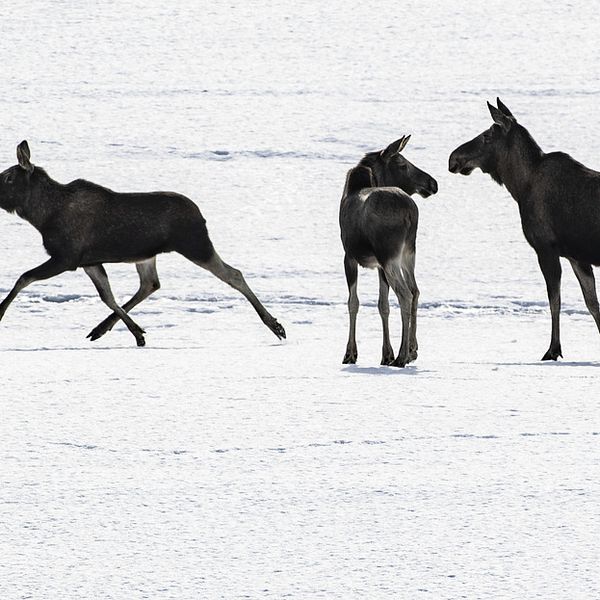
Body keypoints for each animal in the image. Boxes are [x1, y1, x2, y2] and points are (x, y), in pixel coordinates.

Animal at [0, 142, 286, 346]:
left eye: (8, 178)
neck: (42, 216)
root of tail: (201, 215)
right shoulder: (89, 261)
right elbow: (107, 296)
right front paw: (137, 332)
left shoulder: (66, 257)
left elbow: (24, 278)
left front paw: (0, 313)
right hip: (148, 255)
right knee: (150, 284)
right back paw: (103, 328)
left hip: (195, 245)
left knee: (233, 274)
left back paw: (275, 325)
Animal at [340, 137, 438, 368]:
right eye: (402, 164)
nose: (433, 183)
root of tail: (411, 212)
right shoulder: (377, 265)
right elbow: (382, 305)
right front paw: (386, 354)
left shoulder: (349, 256)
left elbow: (353, 303)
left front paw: (350, 353)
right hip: (408, 253)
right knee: (415, 290)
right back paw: (411, 350)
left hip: (389, 256)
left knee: (405, 294)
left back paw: (402, 356)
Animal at [450, 99, 600, 360]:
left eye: (487, 135)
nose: (453, 158)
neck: (519, 186)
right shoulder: (576, 256)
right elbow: (592, 304)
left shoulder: (545, 248)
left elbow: (554, 300)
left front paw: (553, 349)